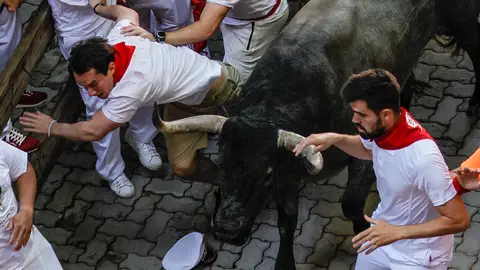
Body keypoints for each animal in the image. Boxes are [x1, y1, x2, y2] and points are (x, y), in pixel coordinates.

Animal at [156, 1, 478, 268]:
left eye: (265, 175)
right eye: (221, 166)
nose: (226, 229)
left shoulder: (361, 156)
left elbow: (351, 203)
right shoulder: (288, 174)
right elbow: (286, 222)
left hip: (464, 19)